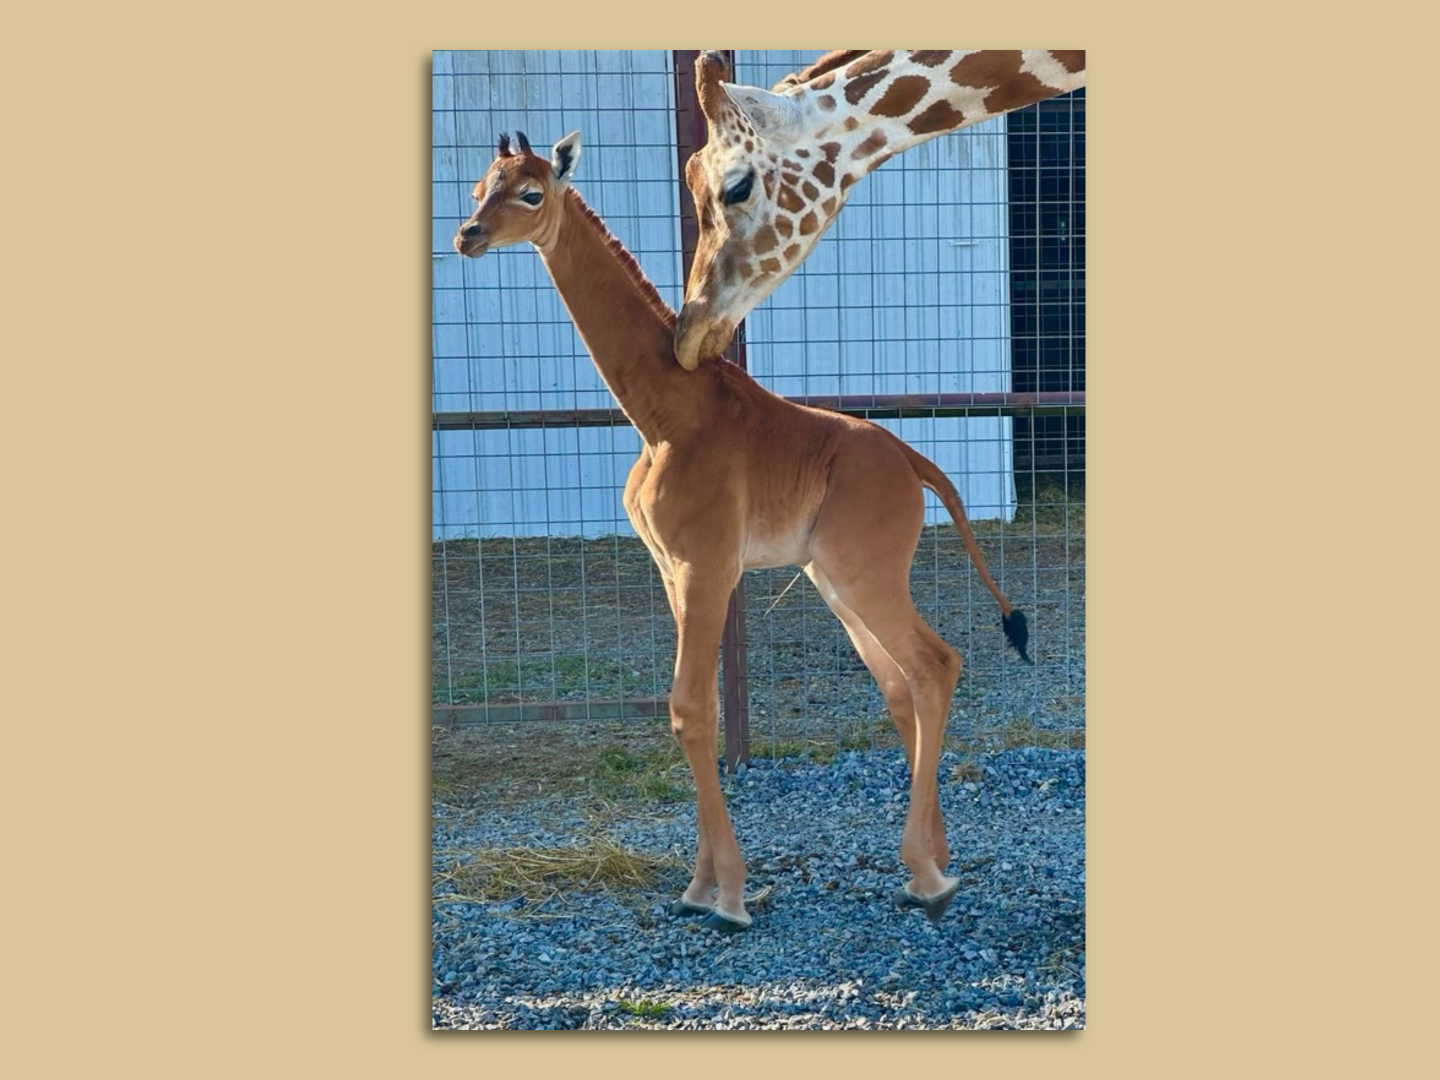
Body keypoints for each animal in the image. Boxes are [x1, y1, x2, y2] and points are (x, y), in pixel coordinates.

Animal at [453, 130, 1031, 931]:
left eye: (531, 193)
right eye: (479, 186)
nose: (467, 235)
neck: (664, 414)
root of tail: (915, 463)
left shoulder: (708, 566)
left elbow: (691, 709)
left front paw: (725, 894)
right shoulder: (673, 570)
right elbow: (693, 711)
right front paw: (699, 886)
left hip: (864, 572)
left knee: (934, 664)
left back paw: (926, 876)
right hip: (834, 580)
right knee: (900, 682)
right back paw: (936, 861)